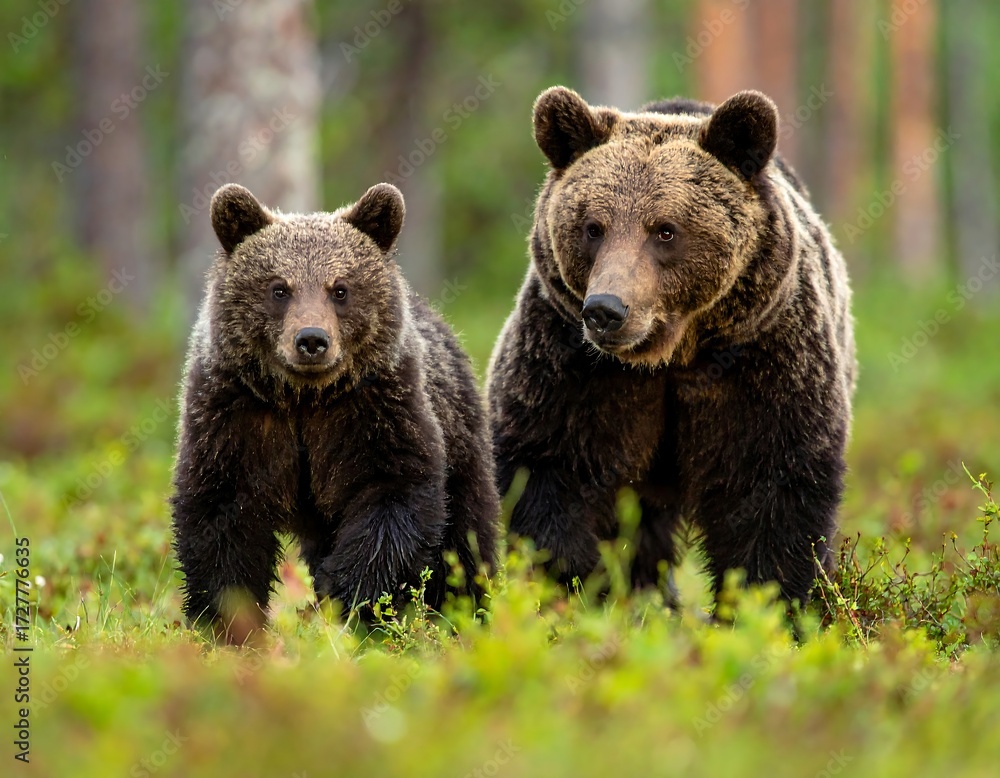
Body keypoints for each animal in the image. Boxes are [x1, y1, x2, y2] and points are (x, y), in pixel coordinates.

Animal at [171, 182, 499, 642]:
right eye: (279, 288)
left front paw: (351, 596)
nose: (311, 339)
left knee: (465, 537)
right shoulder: (235, 411)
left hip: (461, 434)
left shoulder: (374, 409)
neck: (304, 398)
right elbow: (222, 511)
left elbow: (392, 494)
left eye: (340, 288)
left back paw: (466, 612)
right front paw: (226, 623)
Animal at [487, 87, 855, 607]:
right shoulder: (570, 367)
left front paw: (766, 603)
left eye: (665, 229)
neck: (668, 357)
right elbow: (550, 471)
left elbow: (773, 489)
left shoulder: (763, 361)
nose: (605, 310)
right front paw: (577, 587)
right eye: (593, 227)